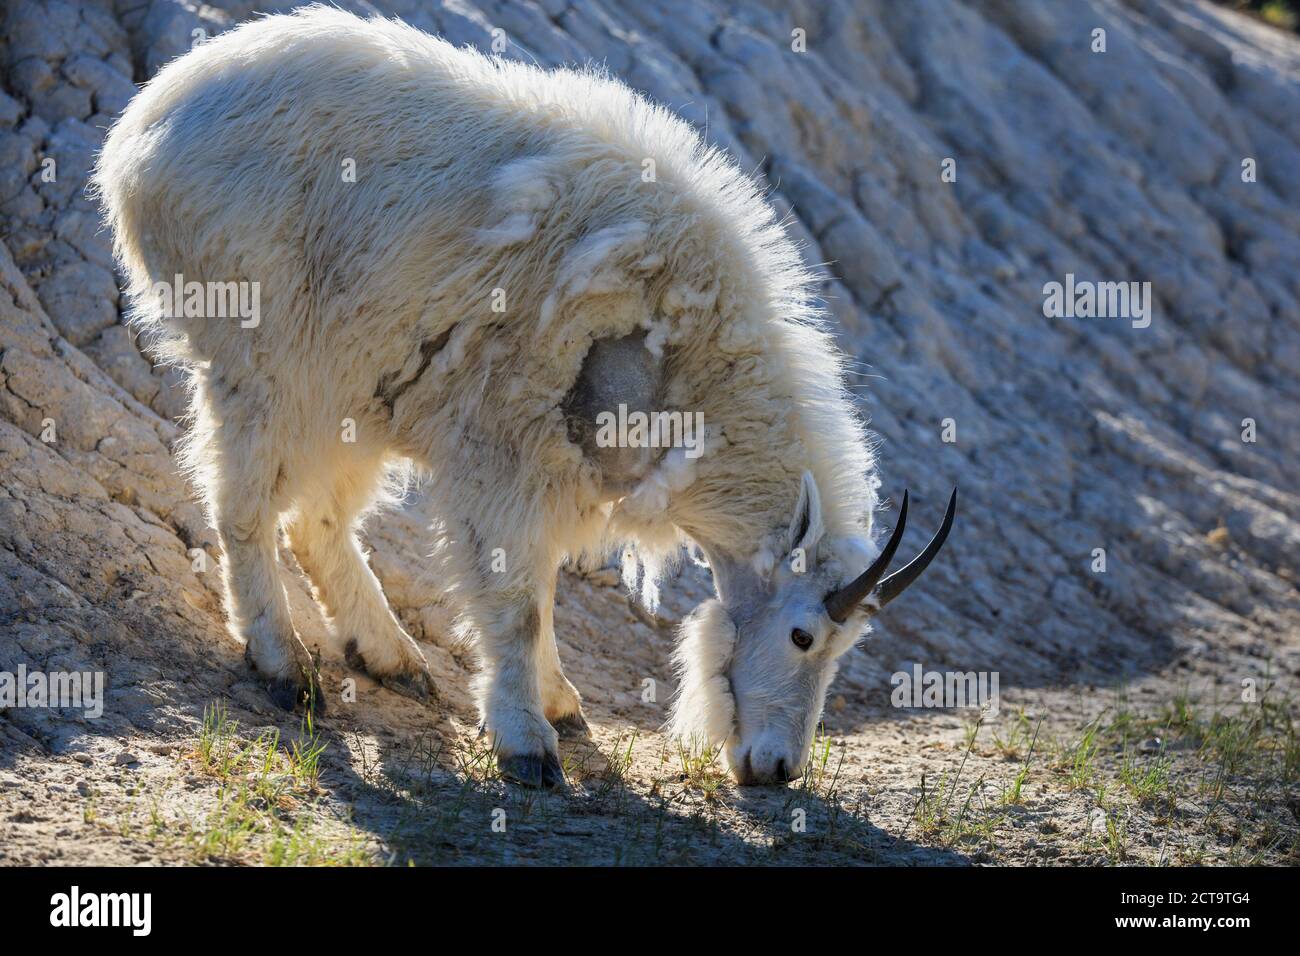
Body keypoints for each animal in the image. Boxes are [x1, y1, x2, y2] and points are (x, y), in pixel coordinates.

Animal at [94, 5, 956, 785]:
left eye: (844, 650)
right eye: (804, 635)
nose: (777, 769)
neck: (695, 363)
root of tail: (143, 128)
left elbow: (537, 584)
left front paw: (559, 703)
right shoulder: (504, 449)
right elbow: (516, 598)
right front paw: (526, 742)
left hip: (356, 385)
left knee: (319, 516)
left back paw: (388, 655)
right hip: (263, 356)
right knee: (243, 501)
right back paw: (281, 662)